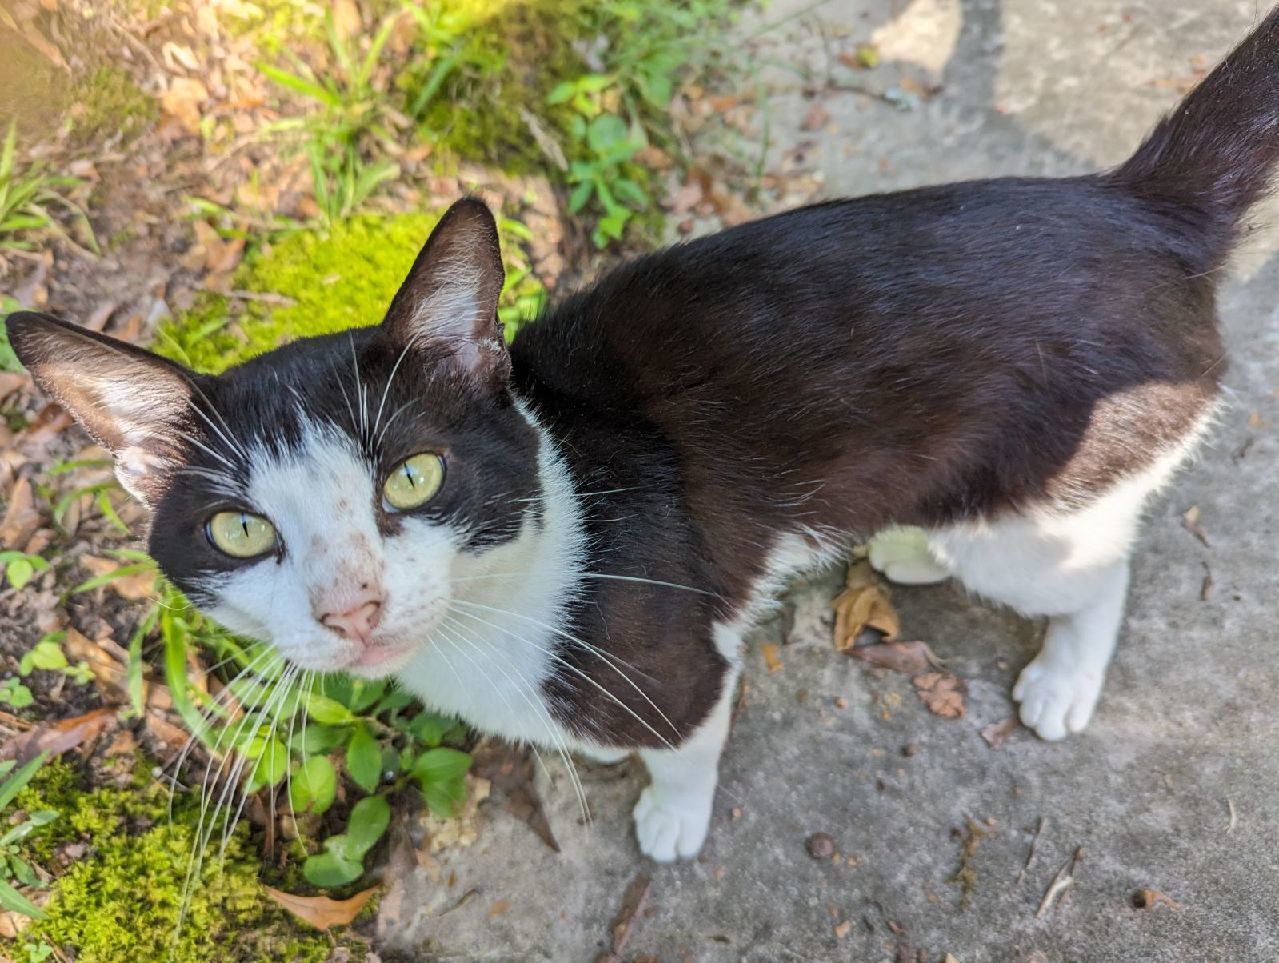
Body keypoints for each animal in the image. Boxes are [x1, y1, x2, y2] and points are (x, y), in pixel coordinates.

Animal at [9, 7, 1279, 864]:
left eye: (412, 476)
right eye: (237, 531)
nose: (350, 610)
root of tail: (1137, 202)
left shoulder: (671, 660)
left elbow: (688, 737)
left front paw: (671, 813)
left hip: (1054, 502)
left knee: (1097, 574)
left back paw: (1063, 671)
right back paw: (910, 545)